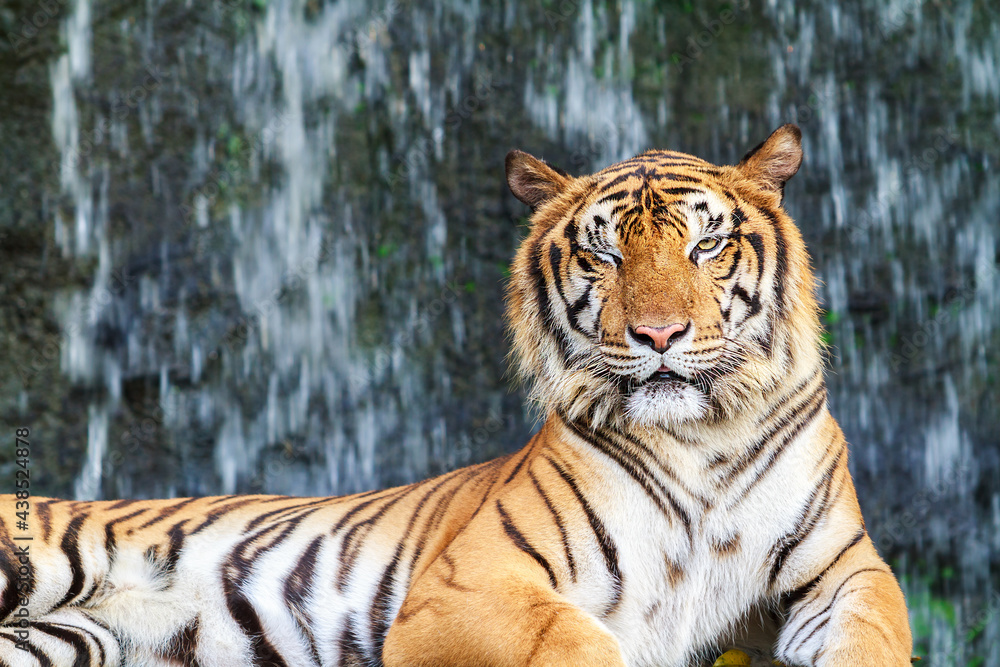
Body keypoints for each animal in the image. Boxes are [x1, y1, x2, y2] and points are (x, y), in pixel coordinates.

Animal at [0, 122, 912, 664]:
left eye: (707, 246)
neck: (702, 440)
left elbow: (870, 628)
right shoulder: (472, 584)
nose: (660, 335)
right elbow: (580, 642)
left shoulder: (843, 567)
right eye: (606, 255)